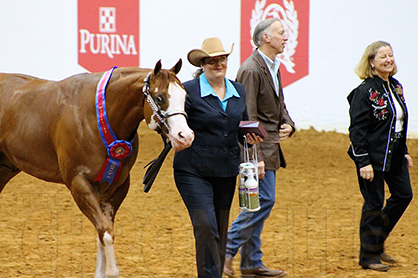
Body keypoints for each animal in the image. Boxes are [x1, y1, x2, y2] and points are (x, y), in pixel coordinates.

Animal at [0, 59, 194, 276]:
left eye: (185, 96)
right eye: (160, 98)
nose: (185, 136)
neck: (94, 117)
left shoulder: (114, 186)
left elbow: (103, 230)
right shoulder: (78, 183)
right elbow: (105, 231)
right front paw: (111, 271)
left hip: (5, 168)